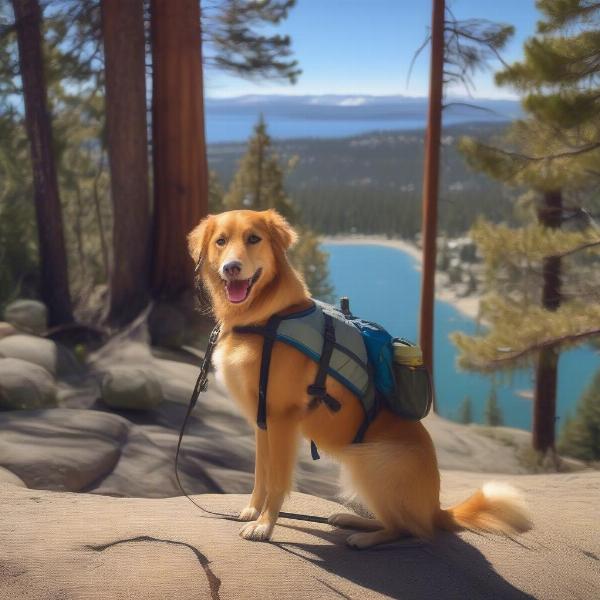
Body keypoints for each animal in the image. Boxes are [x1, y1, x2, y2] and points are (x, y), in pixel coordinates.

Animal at [188, 207, 528, 548]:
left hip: (371, 460)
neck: (266, 318)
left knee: (407, 528)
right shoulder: (263, 422)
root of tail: (436, 509)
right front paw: (252, 511)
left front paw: (264, 525)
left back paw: (364, 536)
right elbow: (261, 474)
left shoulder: (283, 419)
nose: (232, 268)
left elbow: (278, 481)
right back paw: (350, 519)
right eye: (220, 241)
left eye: (253, 239)